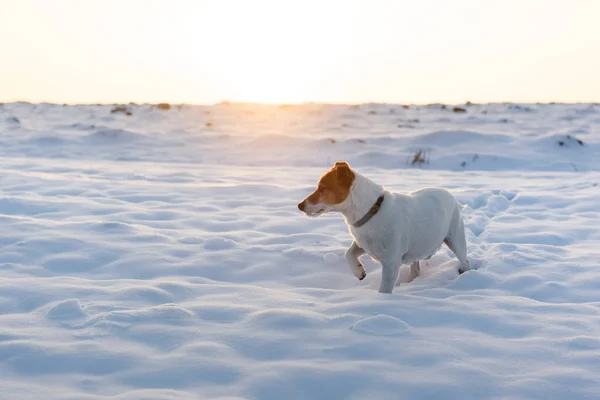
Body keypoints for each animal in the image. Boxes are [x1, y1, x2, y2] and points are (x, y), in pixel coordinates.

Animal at [298, 160, 472, 294]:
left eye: (322, 188)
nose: (299, 205)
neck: (372, 210)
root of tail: (453, 198)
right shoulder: (363, 244)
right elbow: (349, 253)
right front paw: (359, 271)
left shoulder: (390, 263)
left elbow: (385, 288)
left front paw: (382, 301)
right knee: (415, 269)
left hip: (456, 240)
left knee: (465, 260)